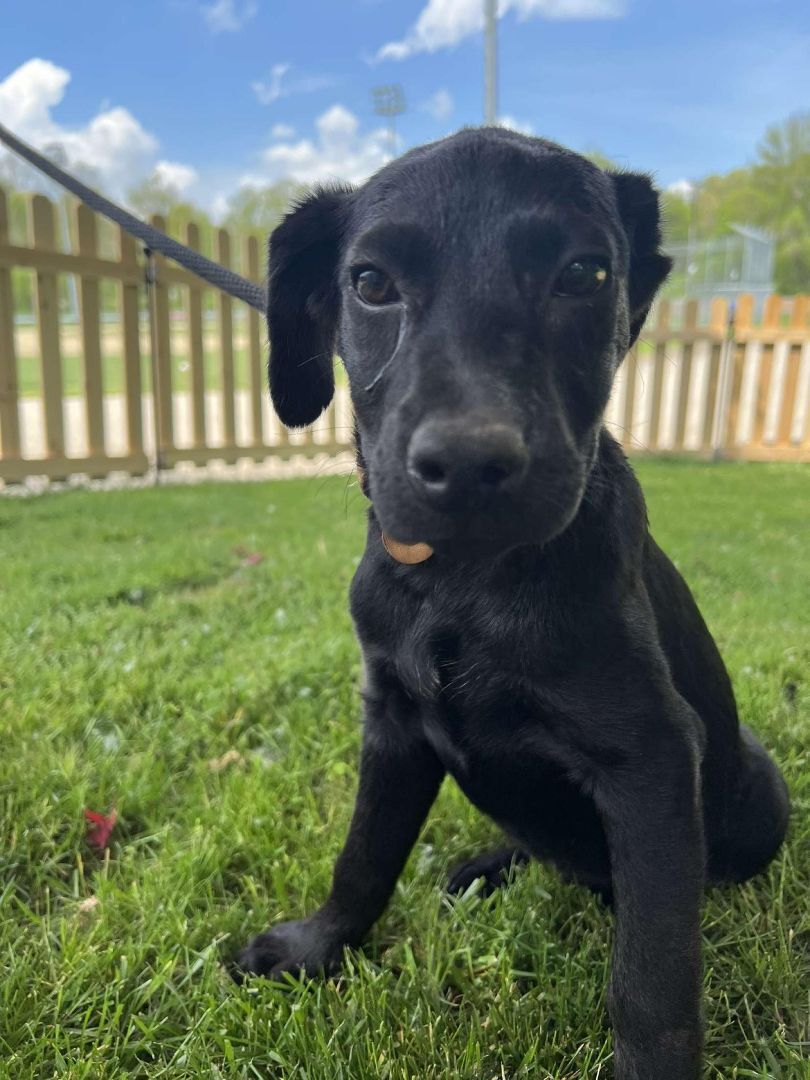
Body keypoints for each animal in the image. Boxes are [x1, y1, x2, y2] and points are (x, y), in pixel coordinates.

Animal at [237, 128, 790, 1080]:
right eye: (370, 282)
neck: (465, 585)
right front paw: (318, 946)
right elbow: (363, 856)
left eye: (585, 274)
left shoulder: (651, 758)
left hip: (757, 789)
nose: (466, 465)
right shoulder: (393, 724)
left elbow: (652, 970)